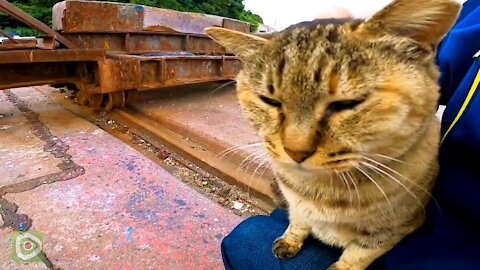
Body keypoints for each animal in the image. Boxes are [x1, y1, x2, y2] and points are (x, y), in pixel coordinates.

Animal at [206, 1, 462, 268]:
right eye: (270, 101)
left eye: (346, 104)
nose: (295, 152)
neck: (323, 190)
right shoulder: (297, 206)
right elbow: (298, 221)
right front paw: (290, 240)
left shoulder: (391, 232)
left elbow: (355, 257)